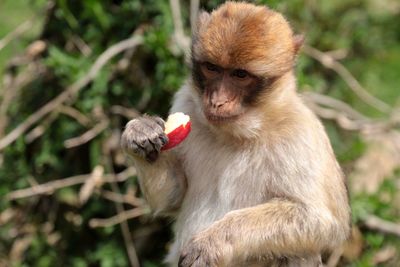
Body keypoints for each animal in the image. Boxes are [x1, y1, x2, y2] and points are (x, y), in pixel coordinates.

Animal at [121, 2, 350, 267]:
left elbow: (319, 221)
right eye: (212, 68)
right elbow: (173, 195)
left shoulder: (302, 136)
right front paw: (140, 134)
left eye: (240, 75)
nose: (217, 101)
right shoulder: (185, 102)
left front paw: (212, 243)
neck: (237, 134)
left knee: (300, 250)